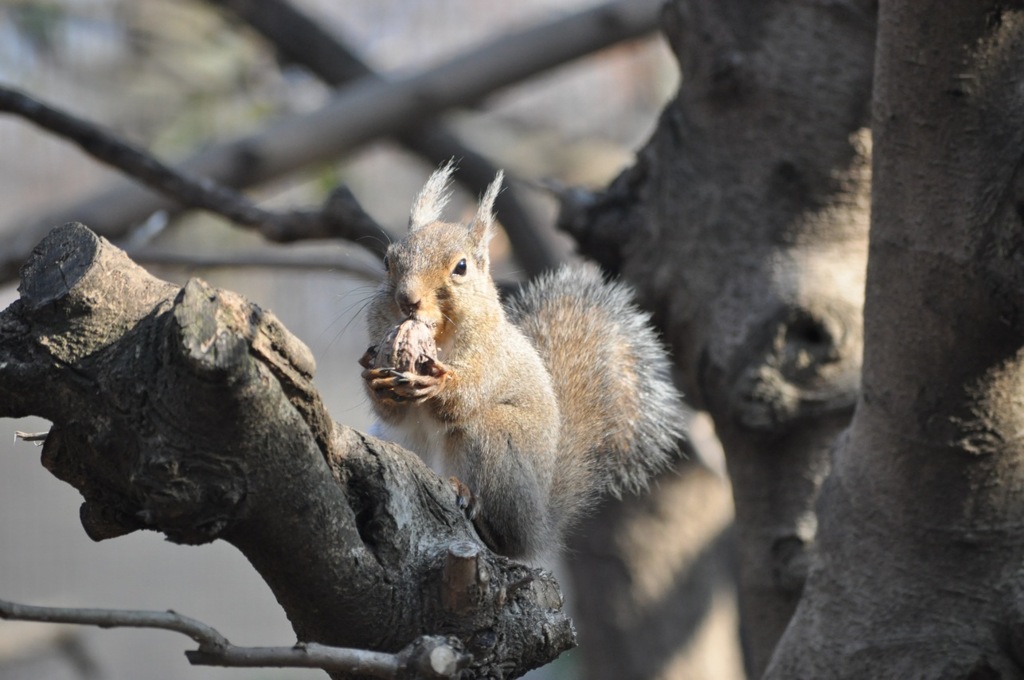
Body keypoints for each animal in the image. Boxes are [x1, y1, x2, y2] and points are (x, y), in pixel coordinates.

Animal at [356, 163, 684, 557]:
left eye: (461, 267)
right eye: (388, 261)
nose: (408, 299)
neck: (439, 337)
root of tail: (538, 526)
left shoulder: (492, 356)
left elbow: (466, 396)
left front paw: (438, 383)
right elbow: (394, 412)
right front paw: (375, 381)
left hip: (498, 441)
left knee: (503, 532)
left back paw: (472, 501)